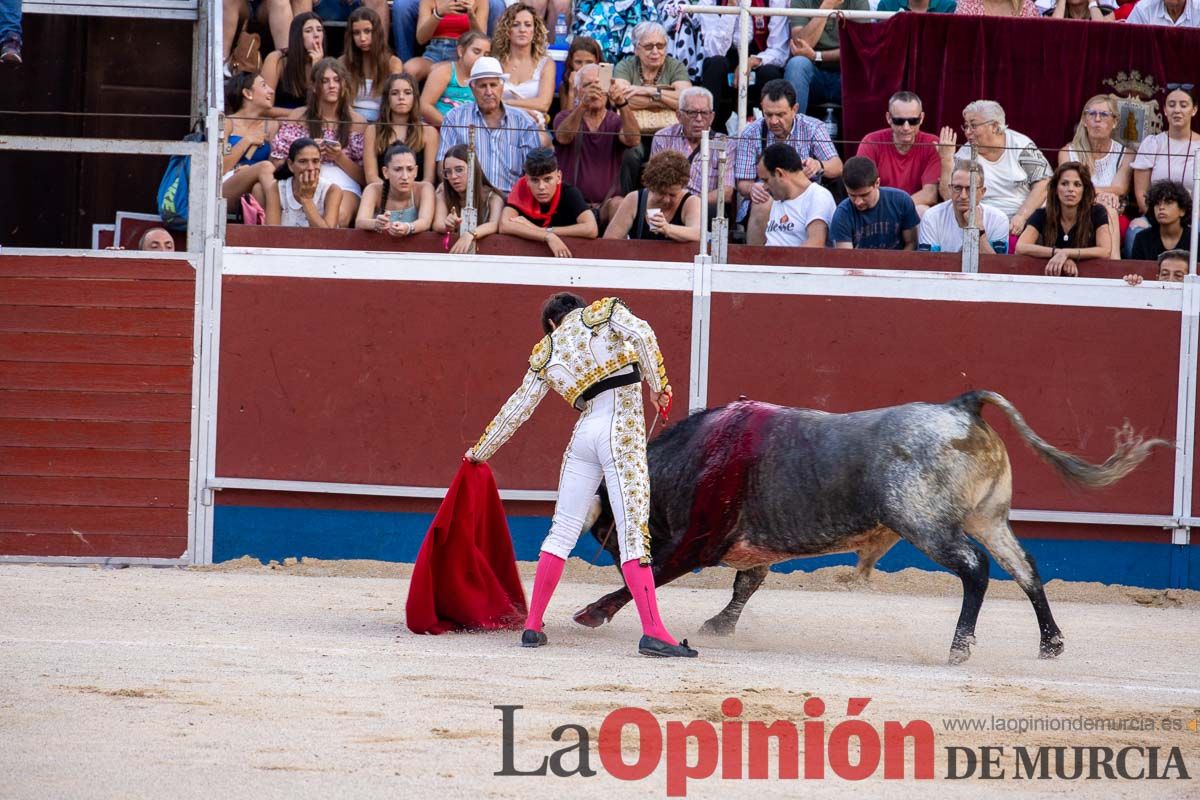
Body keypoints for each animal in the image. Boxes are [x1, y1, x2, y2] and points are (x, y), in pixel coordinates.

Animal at [576, 393, 1166, 662]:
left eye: (608, 524)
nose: (607, 550)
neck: (689, 459)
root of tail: (962, 407)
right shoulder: (751, 548)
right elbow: (747, 584)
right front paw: (718, 626)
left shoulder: (698, 541)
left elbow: (656, 573)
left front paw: (592, 612)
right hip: (990, 518)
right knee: (1025, 570)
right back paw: (1050, 643)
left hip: (926, 525)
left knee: (975, 569)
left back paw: (960, 646)